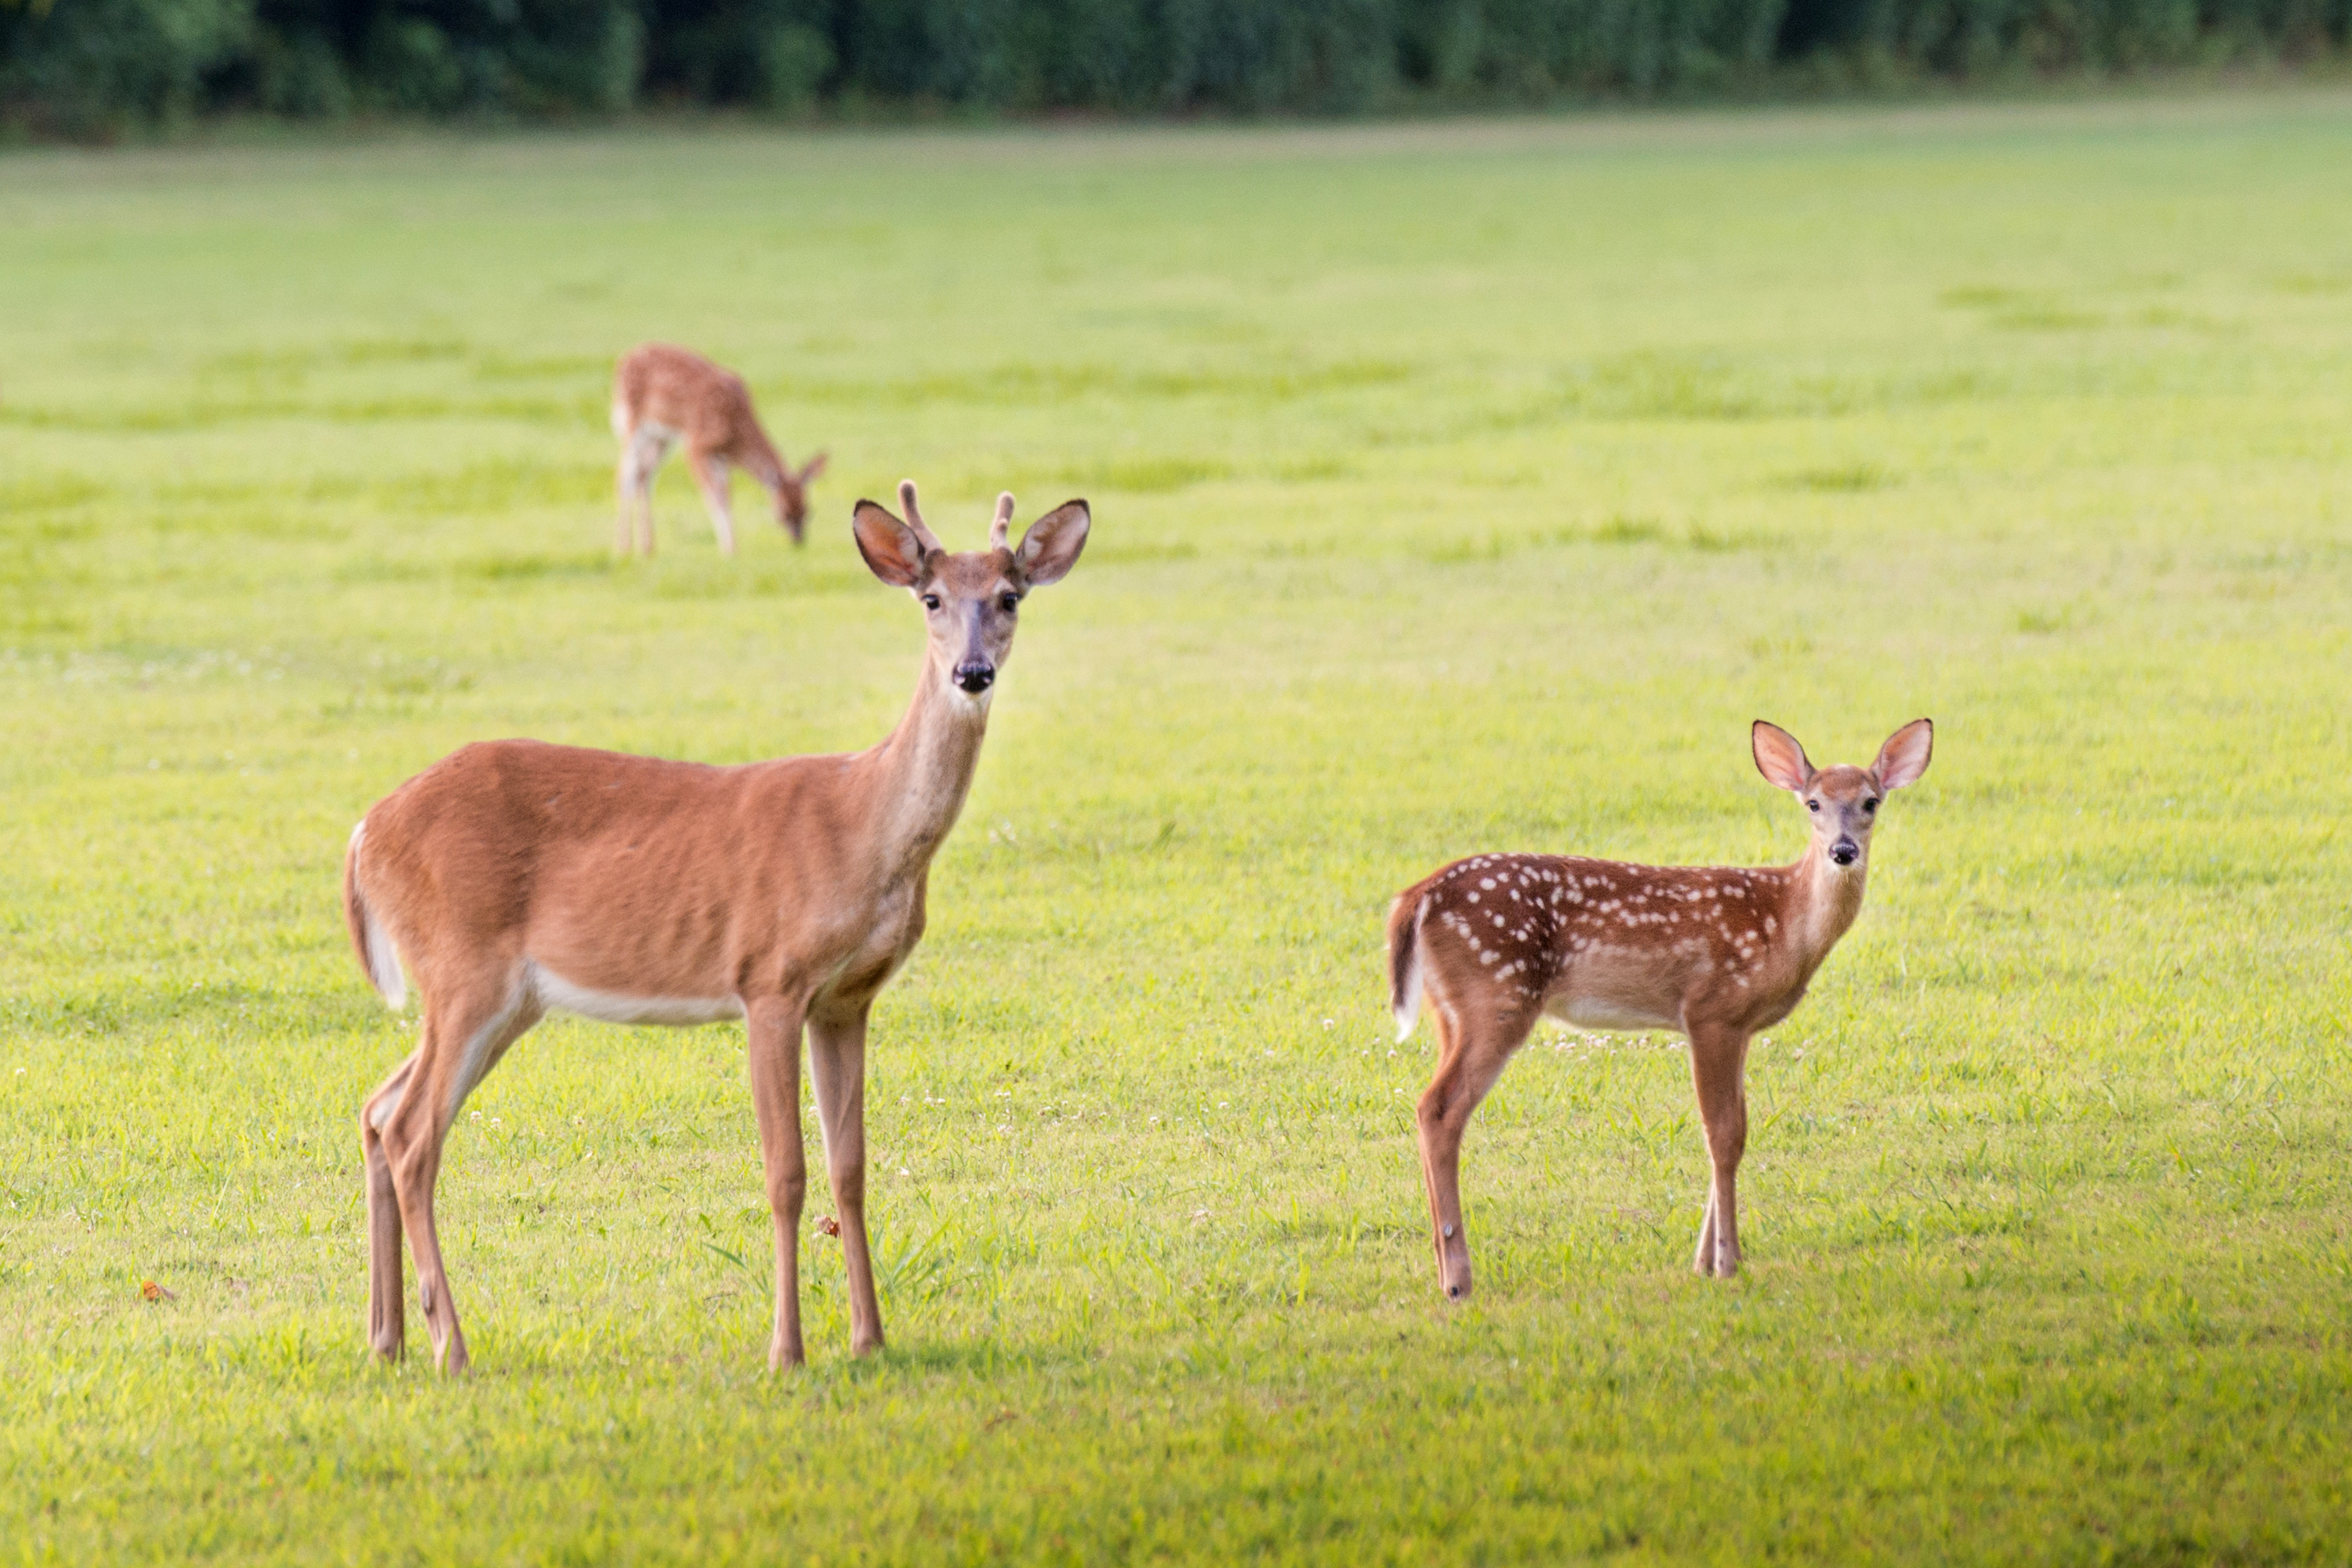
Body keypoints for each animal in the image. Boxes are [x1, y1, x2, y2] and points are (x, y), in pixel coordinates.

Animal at [346, 482, 1091, 1373]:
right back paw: (450, 1347)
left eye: (1010, 596)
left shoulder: (848, 1000)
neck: (862, 824)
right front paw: (788, 1350)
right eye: (932, 598)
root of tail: (366, 832)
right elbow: (786, 1173)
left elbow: (850, 1168)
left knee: (379, 1109)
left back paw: (387, 1338)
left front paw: (870, 1339)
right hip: (465, 969)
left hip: (501, 999)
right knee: (414, 1133)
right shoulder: (769, 979)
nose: (972, 672)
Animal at [606, 343, 828, 557]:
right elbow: (713, 496)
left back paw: (647, 548)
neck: (736, 434)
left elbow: (726, 495)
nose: (798, 540)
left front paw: (732, 547)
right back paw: (624, 548)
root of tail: (624, 359)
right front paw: (729, 550)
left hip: (661, 437)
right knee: (625, 474)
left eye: (808, 510)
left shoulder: (721, 457)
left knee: (644, 475)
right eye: (783, 512)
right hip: (633, 420)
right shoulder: (696, 445)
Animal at [1373, 719, 1929, 1298]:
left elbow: (1735, 1130)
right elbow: (1723, 1135)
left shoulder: (1741, 1026)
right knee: (1439, 1108)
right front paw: (1727, 1262)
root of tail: (1416, 896)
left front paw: (1704, 1259)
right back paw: (1458, 1281)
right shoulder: (1711, 1010)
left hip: (1451, 1011)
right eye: (1813, 803)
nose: (1843, 851)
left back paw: (1446, 1269)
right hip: (1497, 995)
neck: (1784, 921)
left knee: (1431, 1106)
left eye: (1870, 802)